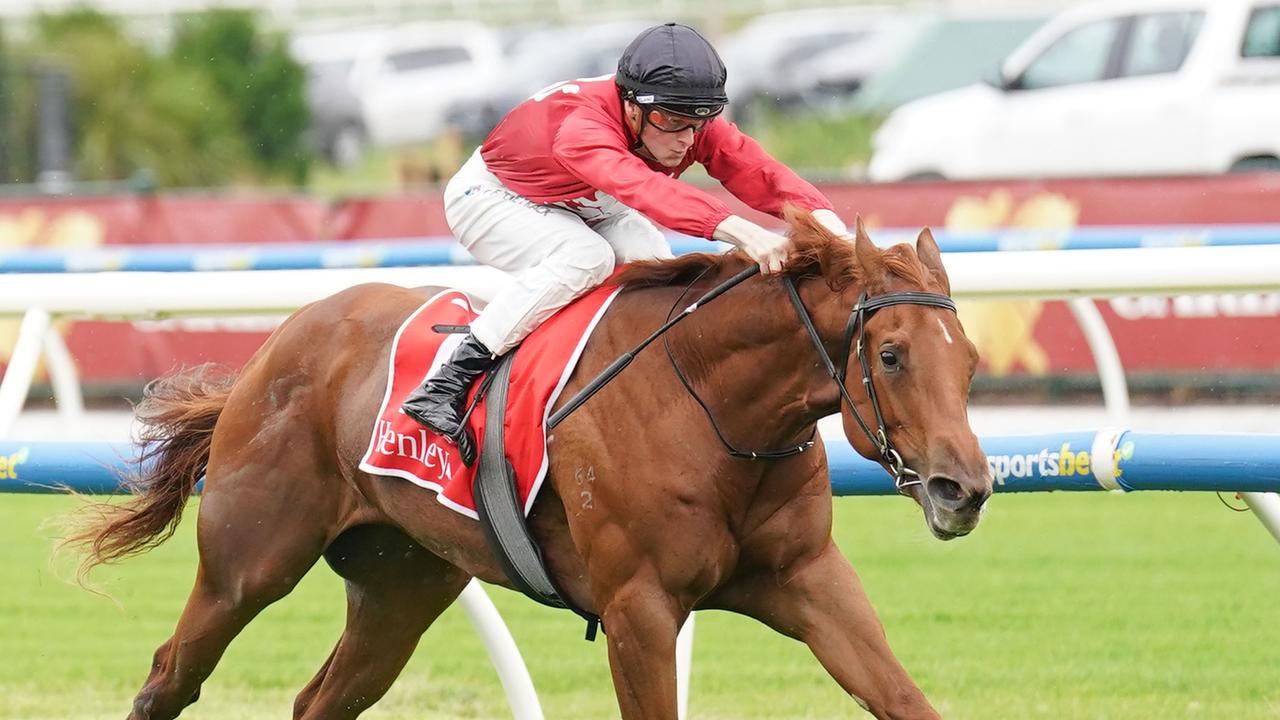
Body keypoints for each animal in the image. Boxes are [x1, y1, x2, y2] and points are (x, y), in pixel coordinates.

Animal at [67, 210, 988, 712]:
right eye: (893, 355)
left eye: (972, 361)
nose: (965, 489)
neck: (712, 405)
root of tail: (275, 347)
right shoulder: (640, 608)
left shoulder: (808, 578)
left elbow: (903, 697)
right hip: (248, 563)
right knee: (169, 676)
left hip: (401, 585)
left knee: (320, 699)